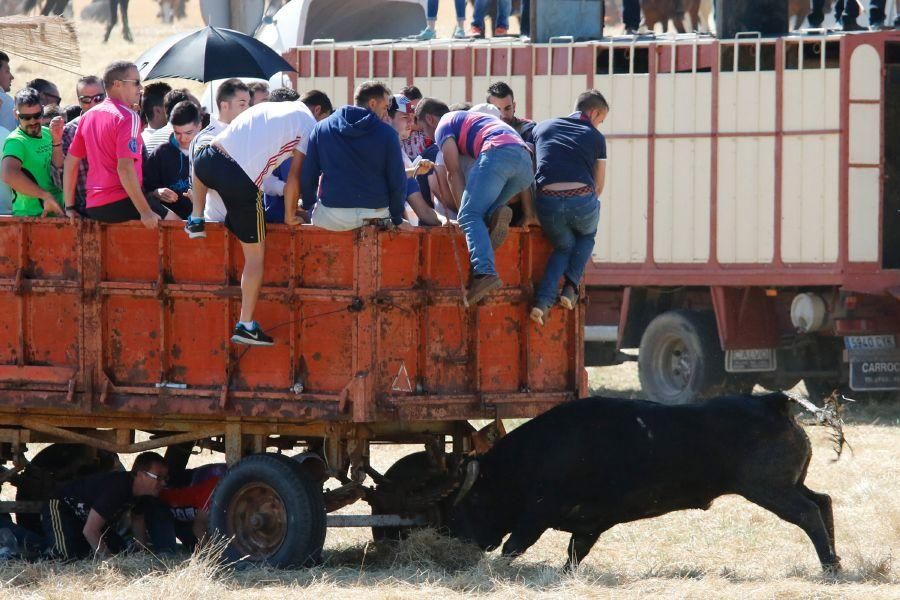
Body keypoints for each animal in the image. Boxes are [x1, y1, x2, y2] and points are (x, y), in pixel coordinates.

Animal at [450, 394, 844, 572]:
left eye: (473, 502)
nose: (464, 544)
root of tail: (774, 402)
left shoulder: (537, 513)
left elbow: (515, 544)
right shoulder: (589, 525)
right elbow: (575, 553)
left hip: (770, 489)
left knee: (808, 513)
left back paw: (828, 565)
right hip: (788, 485)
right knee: (822, 500)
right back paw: (835, 561)